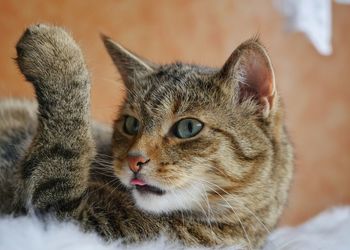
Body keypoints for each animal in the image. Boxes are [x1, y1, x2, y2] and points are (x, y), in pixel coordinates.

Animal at [0, 24, 292, 249]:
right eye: (131, 124)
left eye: (188, 128)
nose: (134, 160)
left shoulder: (70, 221)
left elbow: (63, 151)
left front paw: (57, 52)